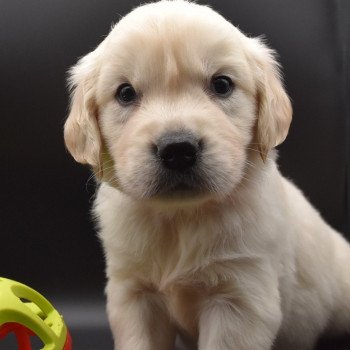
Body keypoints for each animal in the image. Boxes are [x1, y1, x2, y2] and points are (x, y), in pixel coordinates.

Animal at [63, 1, 350, 348]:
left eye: (222, 84)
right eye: (126, 93)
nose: (177, 149)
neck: (181, 219)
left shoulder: (239, 300)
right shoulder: (133, 293)